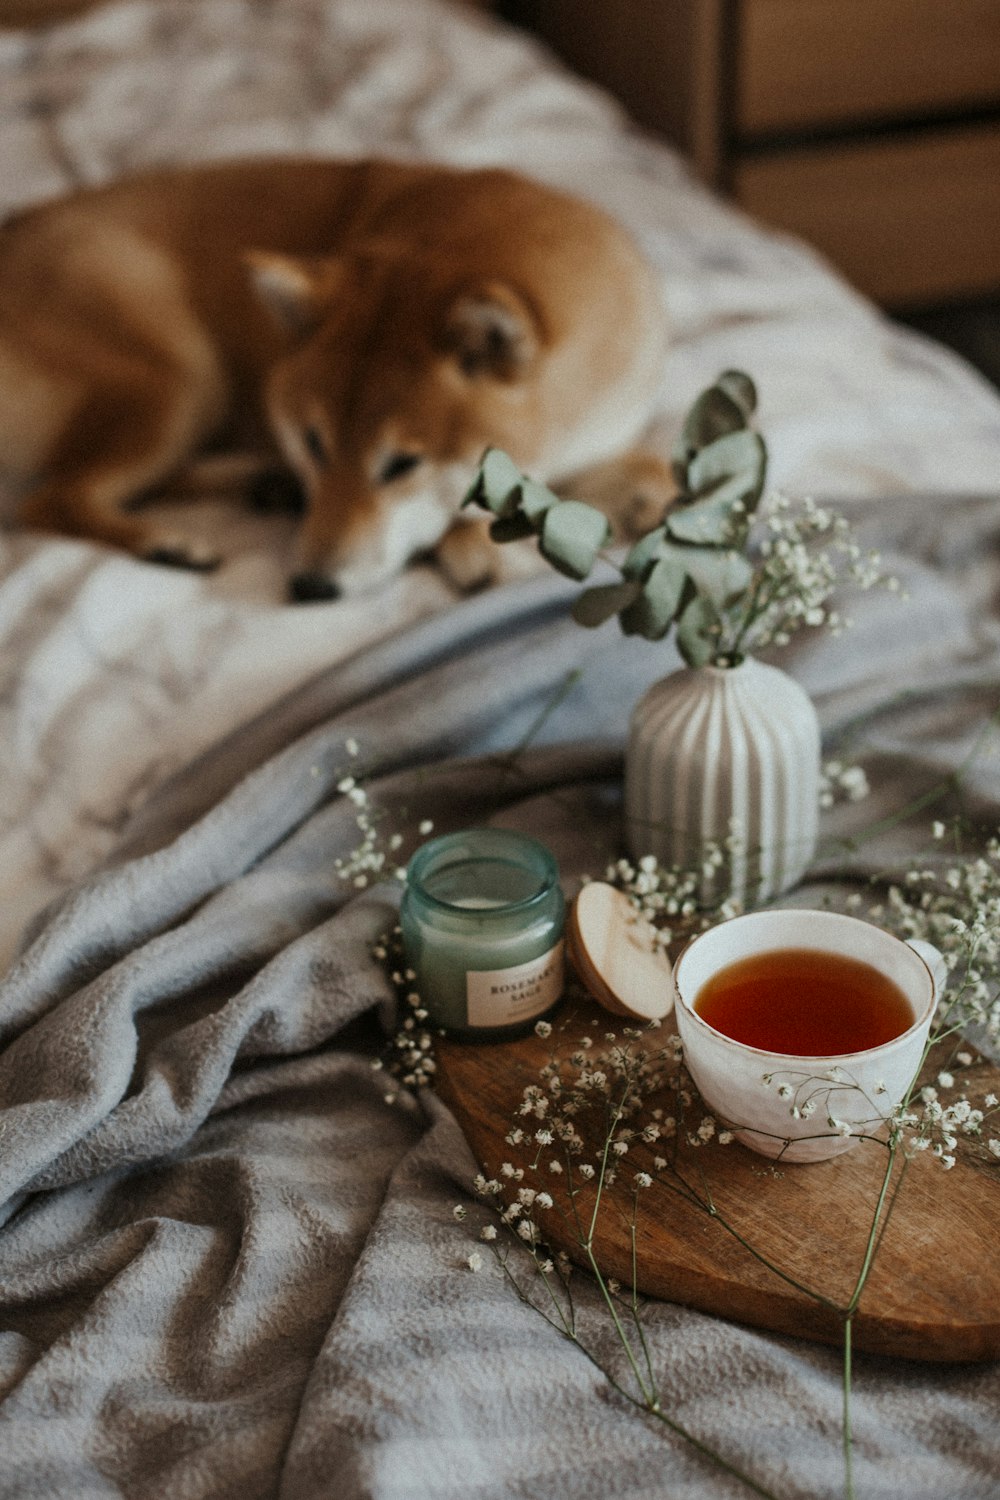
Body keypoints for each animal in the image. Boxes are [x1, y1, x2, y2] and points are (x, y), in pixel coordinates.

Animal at [1, 153, 671, 597]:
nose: (310, 588)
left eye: (402, 464)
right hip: (181, 376)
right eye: (314, 444)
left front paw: (650, 493)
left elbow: (646, 464)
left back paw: (261, 484)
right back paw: (168, 542)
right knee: (52, 498)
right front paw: (491, 545)